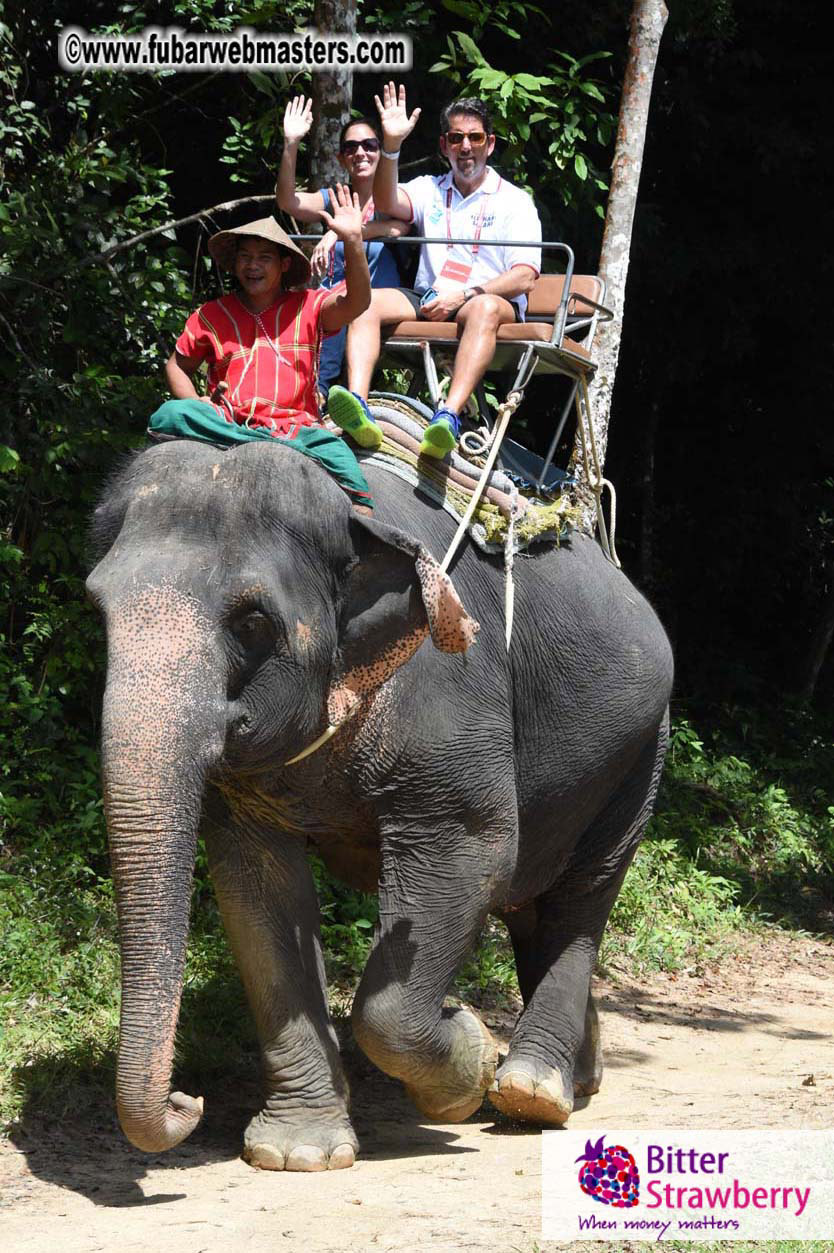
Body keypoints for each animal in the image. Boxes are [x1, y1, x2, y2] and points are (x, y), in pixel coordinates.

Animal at [86, 434, 673, 1172]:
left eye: (251, 620)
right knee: (532, 905)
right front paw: (297, 1152)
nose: (186, 1100)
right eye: (98, 610)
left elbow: (473, 849)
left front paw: (465, 1059)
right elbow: (256, 890)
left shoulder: (450, 690)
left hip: (641, 752)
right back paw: (576, 1079)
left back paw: (530, 1091)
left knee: (582, 897)